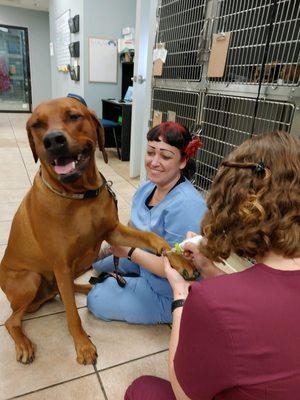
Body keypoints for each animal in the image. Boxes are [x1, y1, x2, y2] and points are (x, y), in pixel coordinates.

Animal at [0, 97, 197, 366]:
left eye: (73, 116)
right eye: (37, 124)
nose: (53, 140)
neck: (81, 196)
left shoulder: (112, 232)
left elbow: (153, 237)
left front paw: (178, 259)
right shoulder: (61, 264)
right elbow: (72, 314)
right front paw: (83, 346)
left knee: (61, 291)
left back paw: (86, 286)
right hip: (31, 280)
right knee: (13, 319)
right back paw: (24, 343)